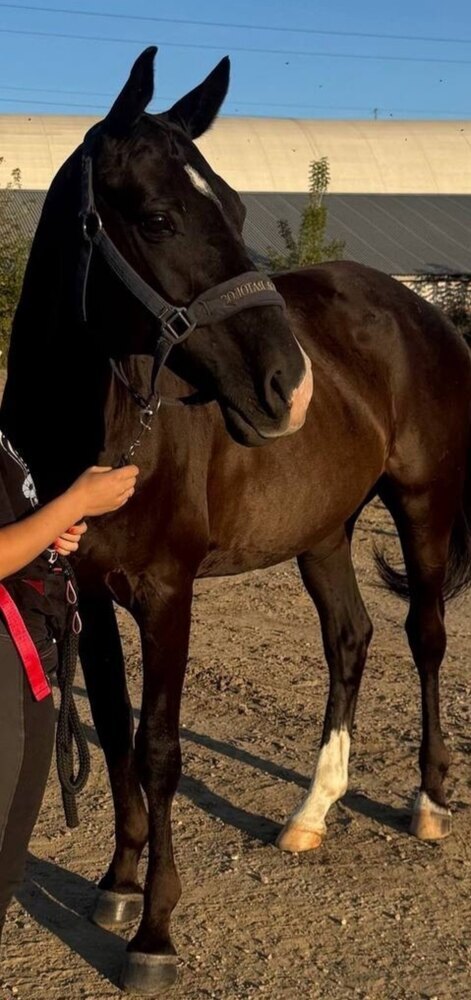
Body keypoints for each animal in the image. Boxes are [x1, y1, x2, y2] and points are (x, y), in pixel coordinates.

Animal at [2, 46, 471, 994]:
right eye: (155, 217)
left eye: (237, 208)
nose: (290, 388)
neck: (99, 426)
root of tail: (418, 310)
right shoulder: (90, 592)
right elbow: (115, 733)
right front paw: (117, 884)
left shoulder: (166, 593)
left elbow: (159, 747)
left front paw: (153, 933)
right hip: (322, 532)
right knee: (349, 639)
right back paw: (310, 812)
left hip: (421, 506)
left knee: (425, 637)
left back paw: (428, 800)